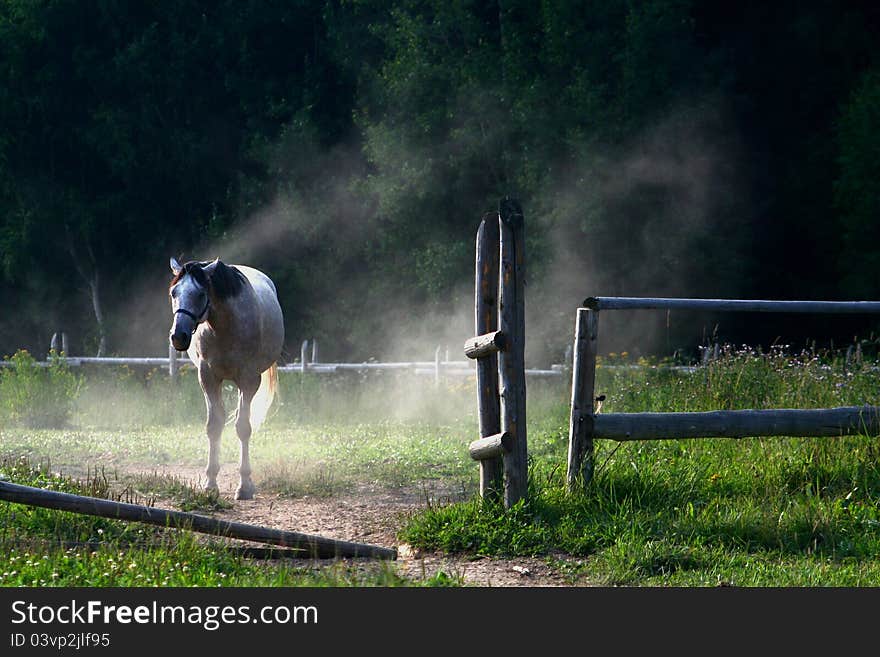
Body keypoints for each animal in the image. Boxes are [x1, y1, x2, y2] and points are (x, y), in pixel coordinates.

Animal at [167, 256, 284, 498]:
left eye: (201, 294)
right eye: (174, 292)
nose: (178, 336)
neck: (225, 326)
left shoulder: (248, 380)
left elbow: (243, 428)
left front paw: (245, 485)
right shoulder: (208, 378)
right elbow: (214, 426)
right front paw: (210, 483)